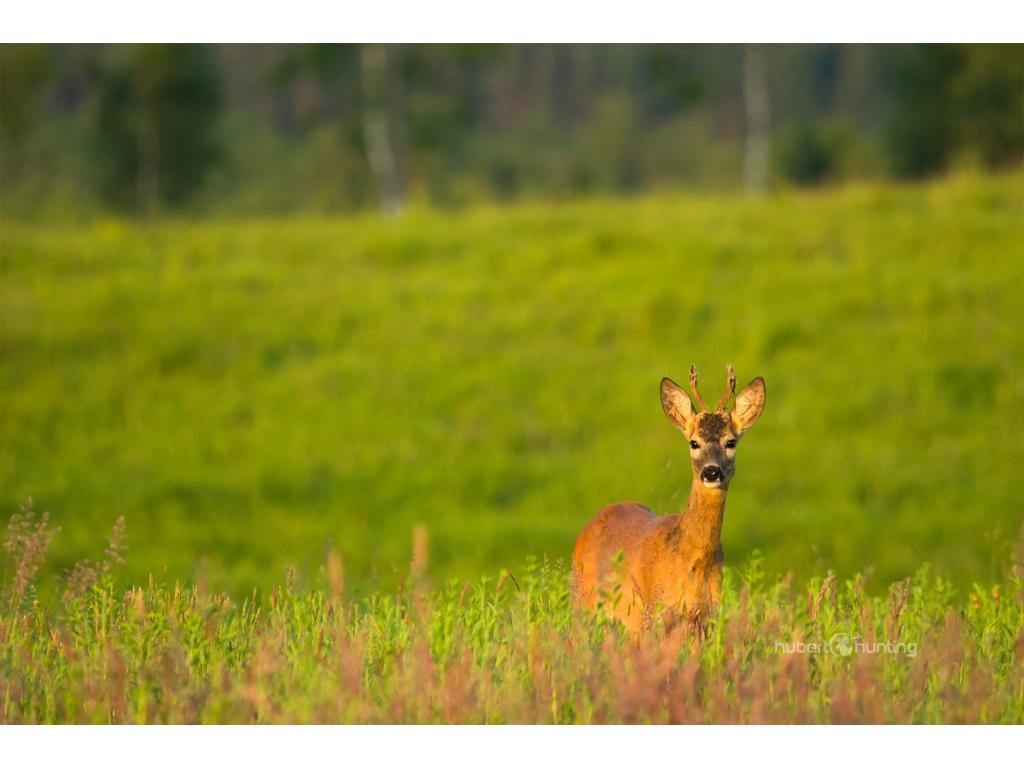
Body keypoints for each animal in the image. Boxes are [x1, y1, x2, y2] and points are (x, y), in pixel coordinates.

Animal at [573, 366, 765, 638]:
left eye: (731, 442)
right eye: (694, 442)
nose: (711, 472)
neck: (693, 561)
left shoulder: (707, 615)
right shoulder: (656, 609)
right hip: (585, 601)